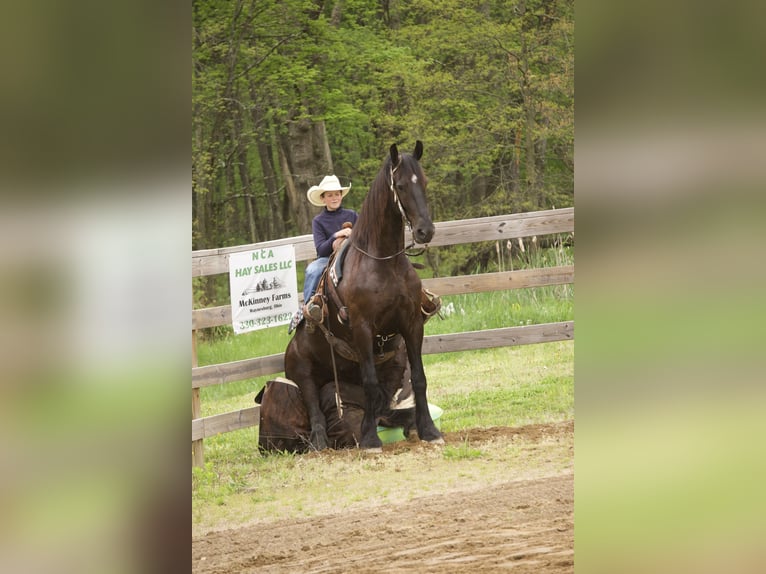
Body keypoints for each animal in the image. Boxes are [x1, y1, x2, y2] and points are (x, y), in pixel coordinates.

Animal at [284, 141, 444, 451]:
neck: (383, 263)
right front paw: (369, 439)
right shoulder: (363, 328)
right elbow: (369, 383)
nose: (425, 231)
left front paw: (430, 430)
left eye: (425, 182)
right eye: (401, 185)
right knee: (314, 406)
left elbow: (419, 378)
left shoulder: (411, 325)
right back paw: (319, 441)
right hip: (302, 371)